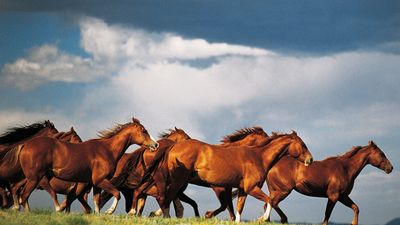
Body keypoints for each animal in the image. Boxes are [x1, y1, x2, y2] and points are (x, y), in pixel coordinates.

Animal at [17, 118, 159, 214]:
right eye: (144, 131)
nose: (156, 145)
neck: (107, 150)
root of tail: (25, 145)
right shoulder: (100, 180)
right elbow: (117, 193)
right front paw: (109, 211)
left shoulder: (96, 184)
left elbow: (96, 201)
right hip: (35, 178)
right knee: (24, 196)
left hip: (38, 177)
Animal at [137, 130, 312, 221]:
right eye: (303, 145)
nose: (310, 160)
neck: (258, 157)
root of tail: (173, 145)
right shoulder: (248, 188)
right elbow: (270, 200)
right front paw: (263, 219)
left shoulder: (241, 190)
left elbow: (237, 209)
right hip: (177, 180)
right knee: (165, 196)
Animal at [264, 141, 392, 225]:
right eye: (381, 154)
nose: (390, 168)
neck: (345, 168)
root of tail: (271, 166)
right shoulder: (333, 196)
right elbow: (327, 215)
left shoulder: (343, 196)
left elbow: (356, 208)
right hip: (284, 190)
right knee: (272, 203)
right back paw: (282, 219)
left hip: (275, 190)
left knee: (268, 203)